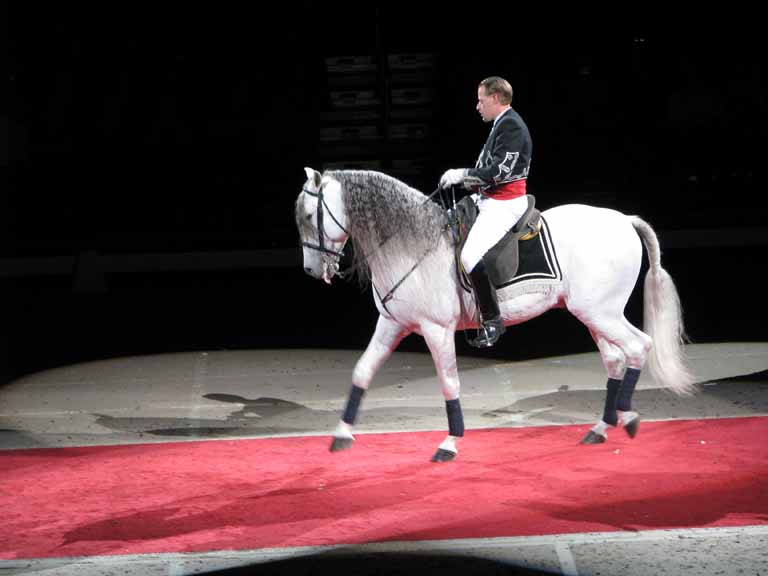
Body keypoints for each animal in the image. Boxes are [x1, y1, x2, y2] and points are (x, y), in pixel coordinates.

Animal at [296, 168, 696, 464]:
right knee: (616, 359)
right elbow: (362, 370)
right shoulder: (392, 324)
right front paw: (341, 434)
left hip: (602, 312)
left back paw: (628, 417)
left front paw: (449, 443)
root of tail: (625, 220)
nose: (312, 271)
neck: (410, 244)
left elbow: (450, 384)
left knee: (638, 347)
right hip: (592, 313)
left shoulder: (436, 330)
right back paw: (600, 428)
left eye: (309, 217)